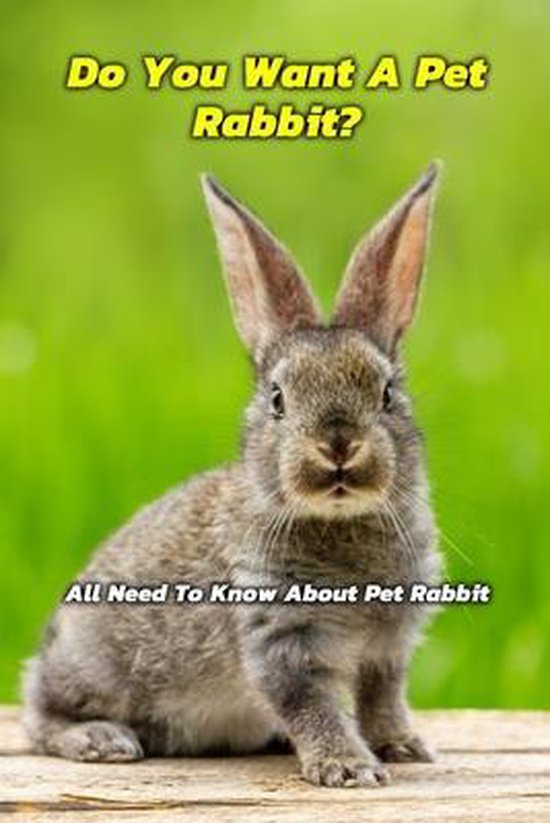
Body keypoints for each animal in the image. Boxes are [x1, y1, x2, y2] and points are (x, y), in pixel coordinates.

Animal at [22, 163, 442, 788]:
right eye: (278, 399)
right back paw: (101, 739)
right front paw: (346, 767)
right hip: (92, 667)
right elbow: (311, 704)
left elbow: (380, 698)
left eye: (387, 393)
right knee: (40, 715)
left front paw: (401, 747)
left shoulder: (387, 647)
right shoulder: (280, 638)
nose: (338, 446)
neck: (339, 521)